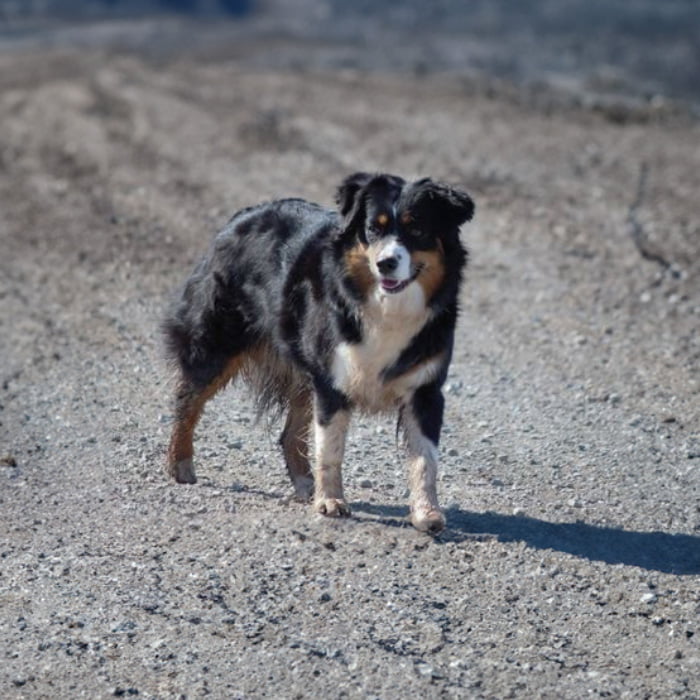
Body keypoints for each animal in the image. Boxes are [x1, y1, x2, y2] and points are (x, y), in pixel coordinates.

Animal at [164, 174, 474, 532]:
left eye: (418, 228)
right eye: (373, 229)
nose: (385, 263)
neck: (387, 307)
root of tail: (242, 216)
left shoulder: (425, 388)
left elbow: (425, 458)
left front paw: (428, 514)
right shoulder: (332, 380)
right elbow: (330, 448)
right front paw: (330, 502)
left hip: (302, 369)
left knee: (289, 433)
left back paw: (304, 484)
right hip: (218, 339)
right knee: (188, 399)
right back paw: (181, 464)